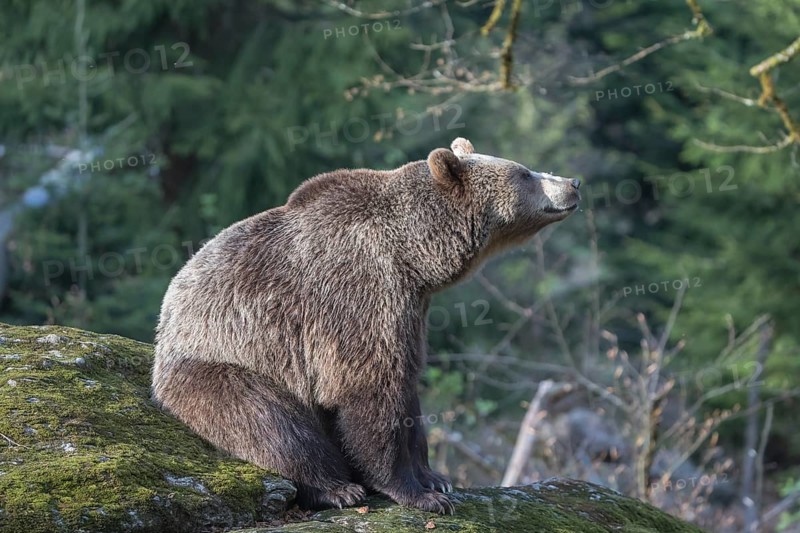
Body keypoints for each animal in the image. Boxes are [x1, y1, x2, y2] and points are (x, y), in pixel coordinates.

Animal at [151, 137, 580, 514]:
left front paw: (436, 478)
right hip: (220, 364)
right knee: (271, 422)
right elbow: (368, 386)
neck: (413, 255)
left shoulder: (411, 309)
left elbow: (407, 386)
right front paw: (418, 494)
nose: (573, 183)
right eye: (524, 172)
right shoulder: (360, 291)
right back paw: (335, 489)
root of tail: (166, 319)